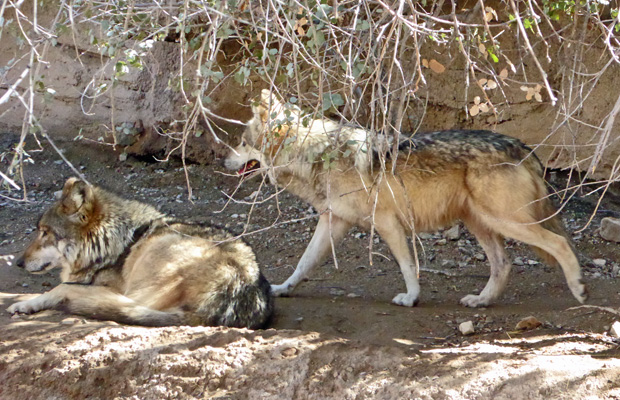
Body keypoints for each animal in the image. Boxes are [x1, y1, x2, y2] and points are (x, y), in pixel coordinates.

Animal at [6, 178, 274, 328]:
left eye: (44, 233)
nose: (18, 262)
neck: (115, 243)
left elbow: (59, 287)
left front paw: (25, 303)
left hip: (156, 253)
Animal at [224, 89, 588, 306]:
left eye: (241, 142)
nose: (223, 161)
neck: (316, 154)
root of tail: (523, 147)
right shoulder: (334, 221)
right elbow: (303, 262)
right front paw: (282, 288)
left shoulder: (387, 222)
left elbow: (407, 265)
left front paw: (411, 297)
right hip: (481, 223)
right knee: (504, 264)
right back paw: (481, 300)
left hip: (505, 222)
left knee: (560, 244)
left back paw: (579, 289)